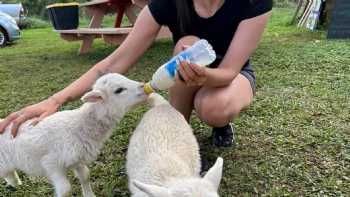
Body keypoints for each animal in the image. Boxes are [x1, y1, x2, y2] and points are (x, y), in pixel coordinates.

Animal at [0, 73, 148, 196]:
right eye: (119, 90)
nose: (143, 86)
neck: (79, 125)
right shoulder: (52, 163)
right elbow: (65, 190)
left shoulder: (77, 157)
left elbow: (85, 176)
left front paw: (89, 195)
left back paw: (15, 182)